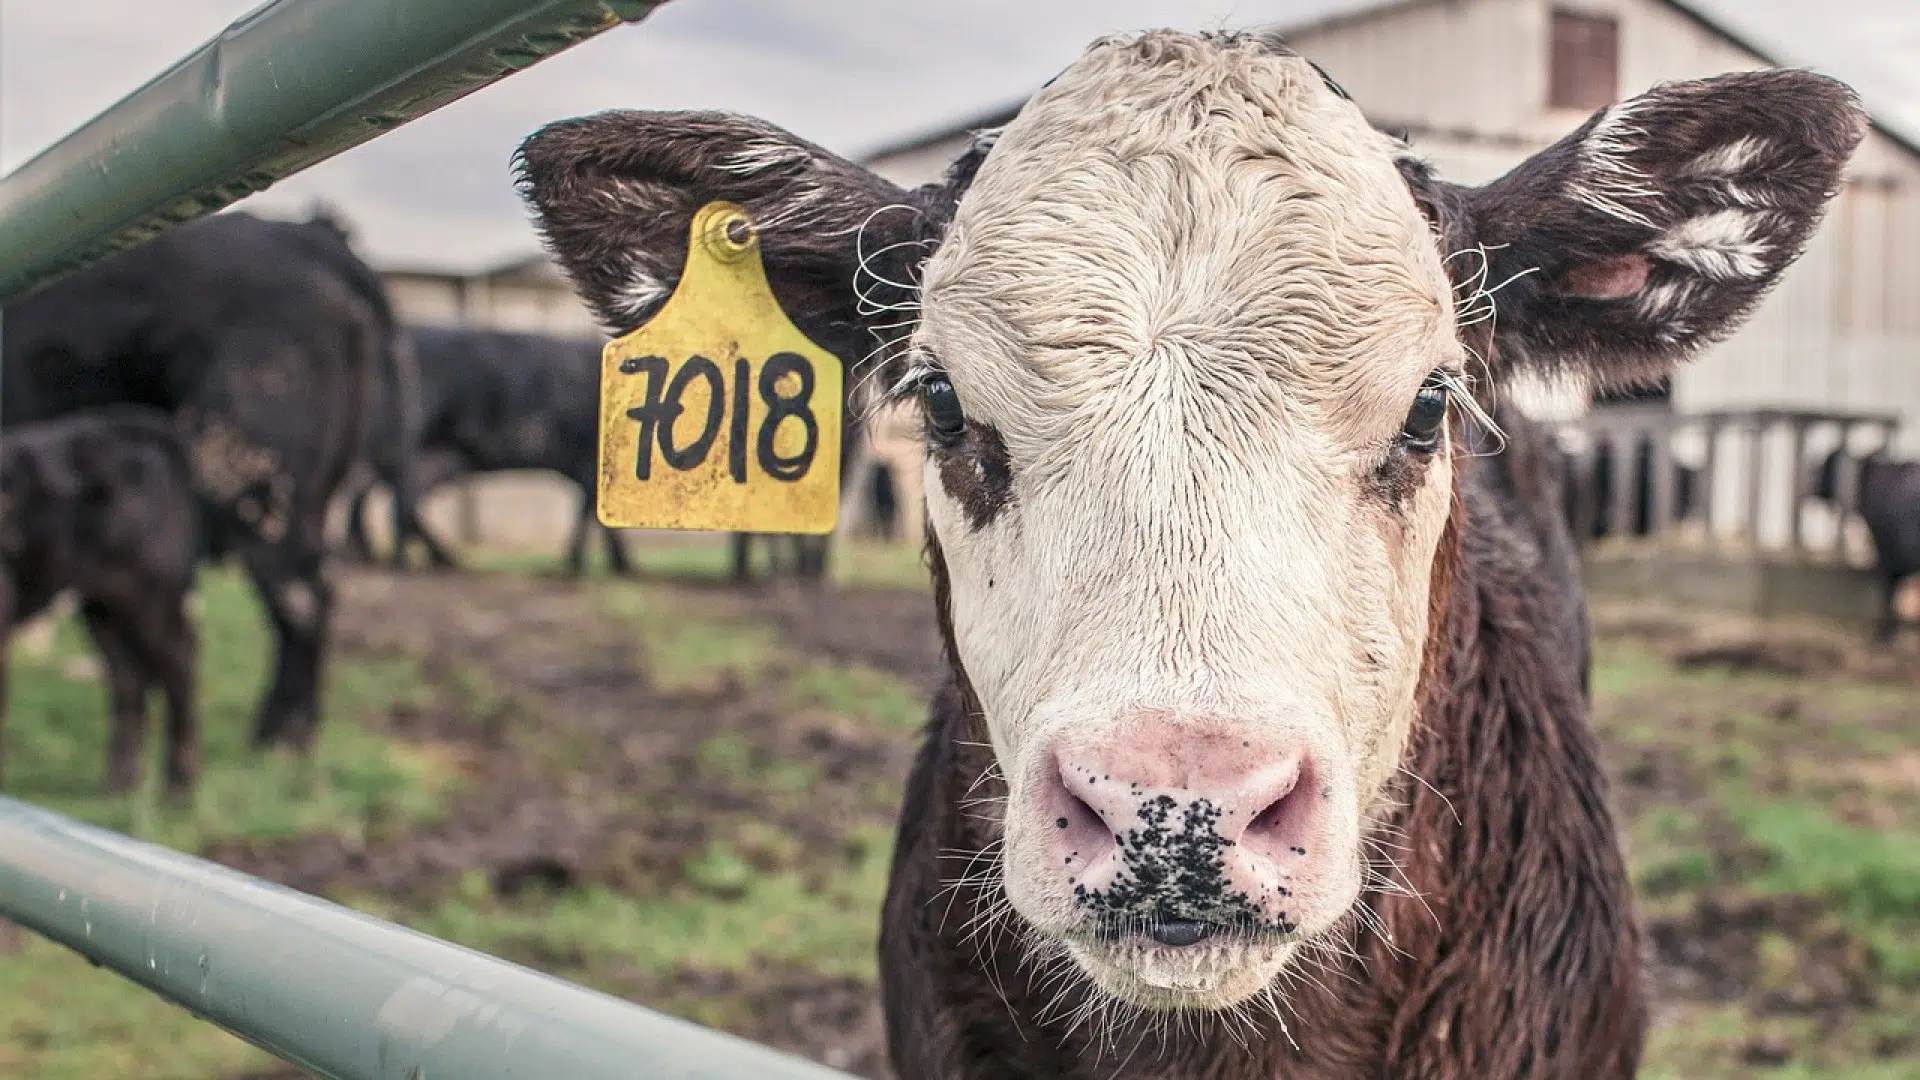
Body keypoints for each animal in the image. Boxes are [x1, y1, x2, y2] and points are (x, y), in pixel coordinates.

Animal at [0, 403, 205, 791]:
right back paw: (120, 785)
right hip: (104, 605)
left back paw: (177, 787)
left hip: (154, 597)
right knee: (127, 678)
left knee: (179, 665)